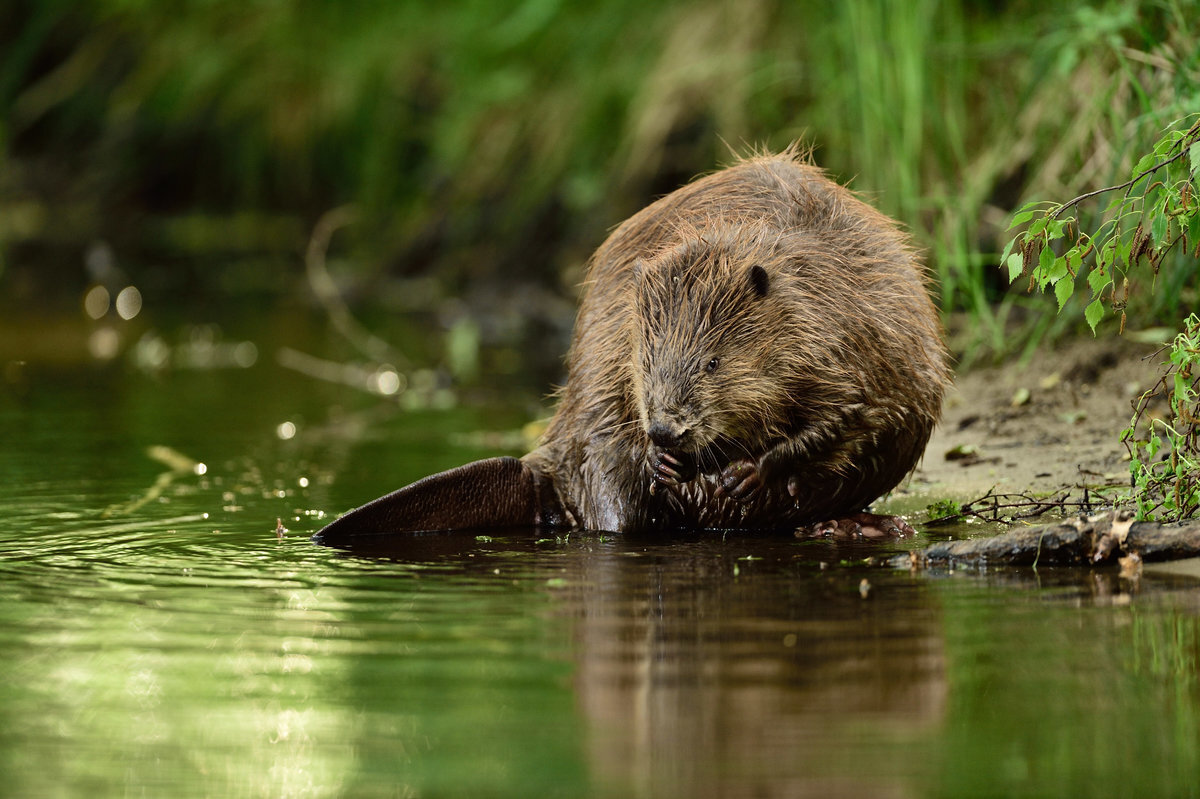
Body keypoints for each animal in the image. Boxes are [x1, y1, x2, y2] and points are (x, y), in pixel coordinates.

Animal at [314, 149, 950, 542]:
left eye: (713, 362)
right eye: (647, 361)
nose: (665, 430)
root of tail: (538, 467)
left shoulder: (849, 331)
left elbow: (851, 414)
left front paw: (751, 474)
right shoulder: (619, 338)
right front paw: (666, 462)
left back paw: (856, 525)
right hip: (587, 434)